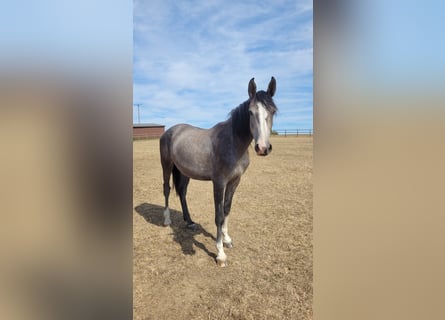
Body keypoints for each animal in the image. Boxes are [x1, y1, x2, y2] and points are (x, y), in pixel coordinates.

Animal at [160, 76, 278, 266]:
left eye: (273, 111)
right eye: (250, 112)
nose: (262, 148)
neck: (233, 143)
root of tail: (170, 131)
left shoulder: (234, 181)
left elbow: (227, 210)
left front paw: (227, 239)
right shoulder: (219, 182)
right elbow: (218, 215)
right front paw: (220, 253)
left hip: (184, 172)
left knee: (183, 193)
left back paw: (190, 222)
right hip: (167, 165)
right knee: (166, 189)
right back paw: (167, 220)